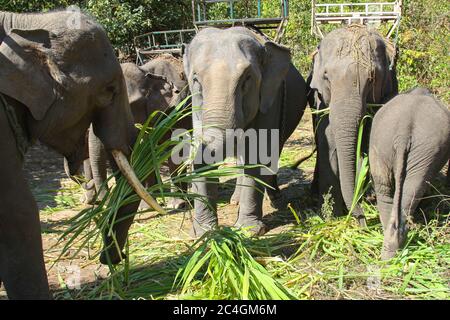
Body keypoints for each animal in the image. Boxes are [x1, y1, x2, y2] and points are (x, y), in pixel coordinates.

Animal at [81, 55, 191, 209]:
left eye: (126, 106)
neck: (146, 73)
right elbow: (145, 149)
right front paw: (146, 206)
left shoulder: (178, 107)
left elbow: (174, 147)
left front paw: (177, 204)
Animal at [181, 27, 308, 236]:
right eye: (196, 80)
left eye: (246, 79)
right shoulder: (195, 109)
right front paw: (203, 234)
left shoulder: (269, 101)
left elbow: (257, 156)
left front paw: (249, 231)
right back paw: (236, 200)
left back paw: (274, 197)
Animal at [310, 25, 398, 224]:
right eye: (326, 76)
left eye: (372, 77)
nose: (361, 220)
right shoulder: (321, 100)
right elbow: (327, 139)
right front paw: (330, 215)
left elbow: (369, 138)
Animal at [370, 88, 450, 260]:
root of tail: (402, 134)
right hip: (426, 150)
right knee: (413, 190)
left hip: (382, 144)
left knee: (384, 187)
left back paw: (387, 253)